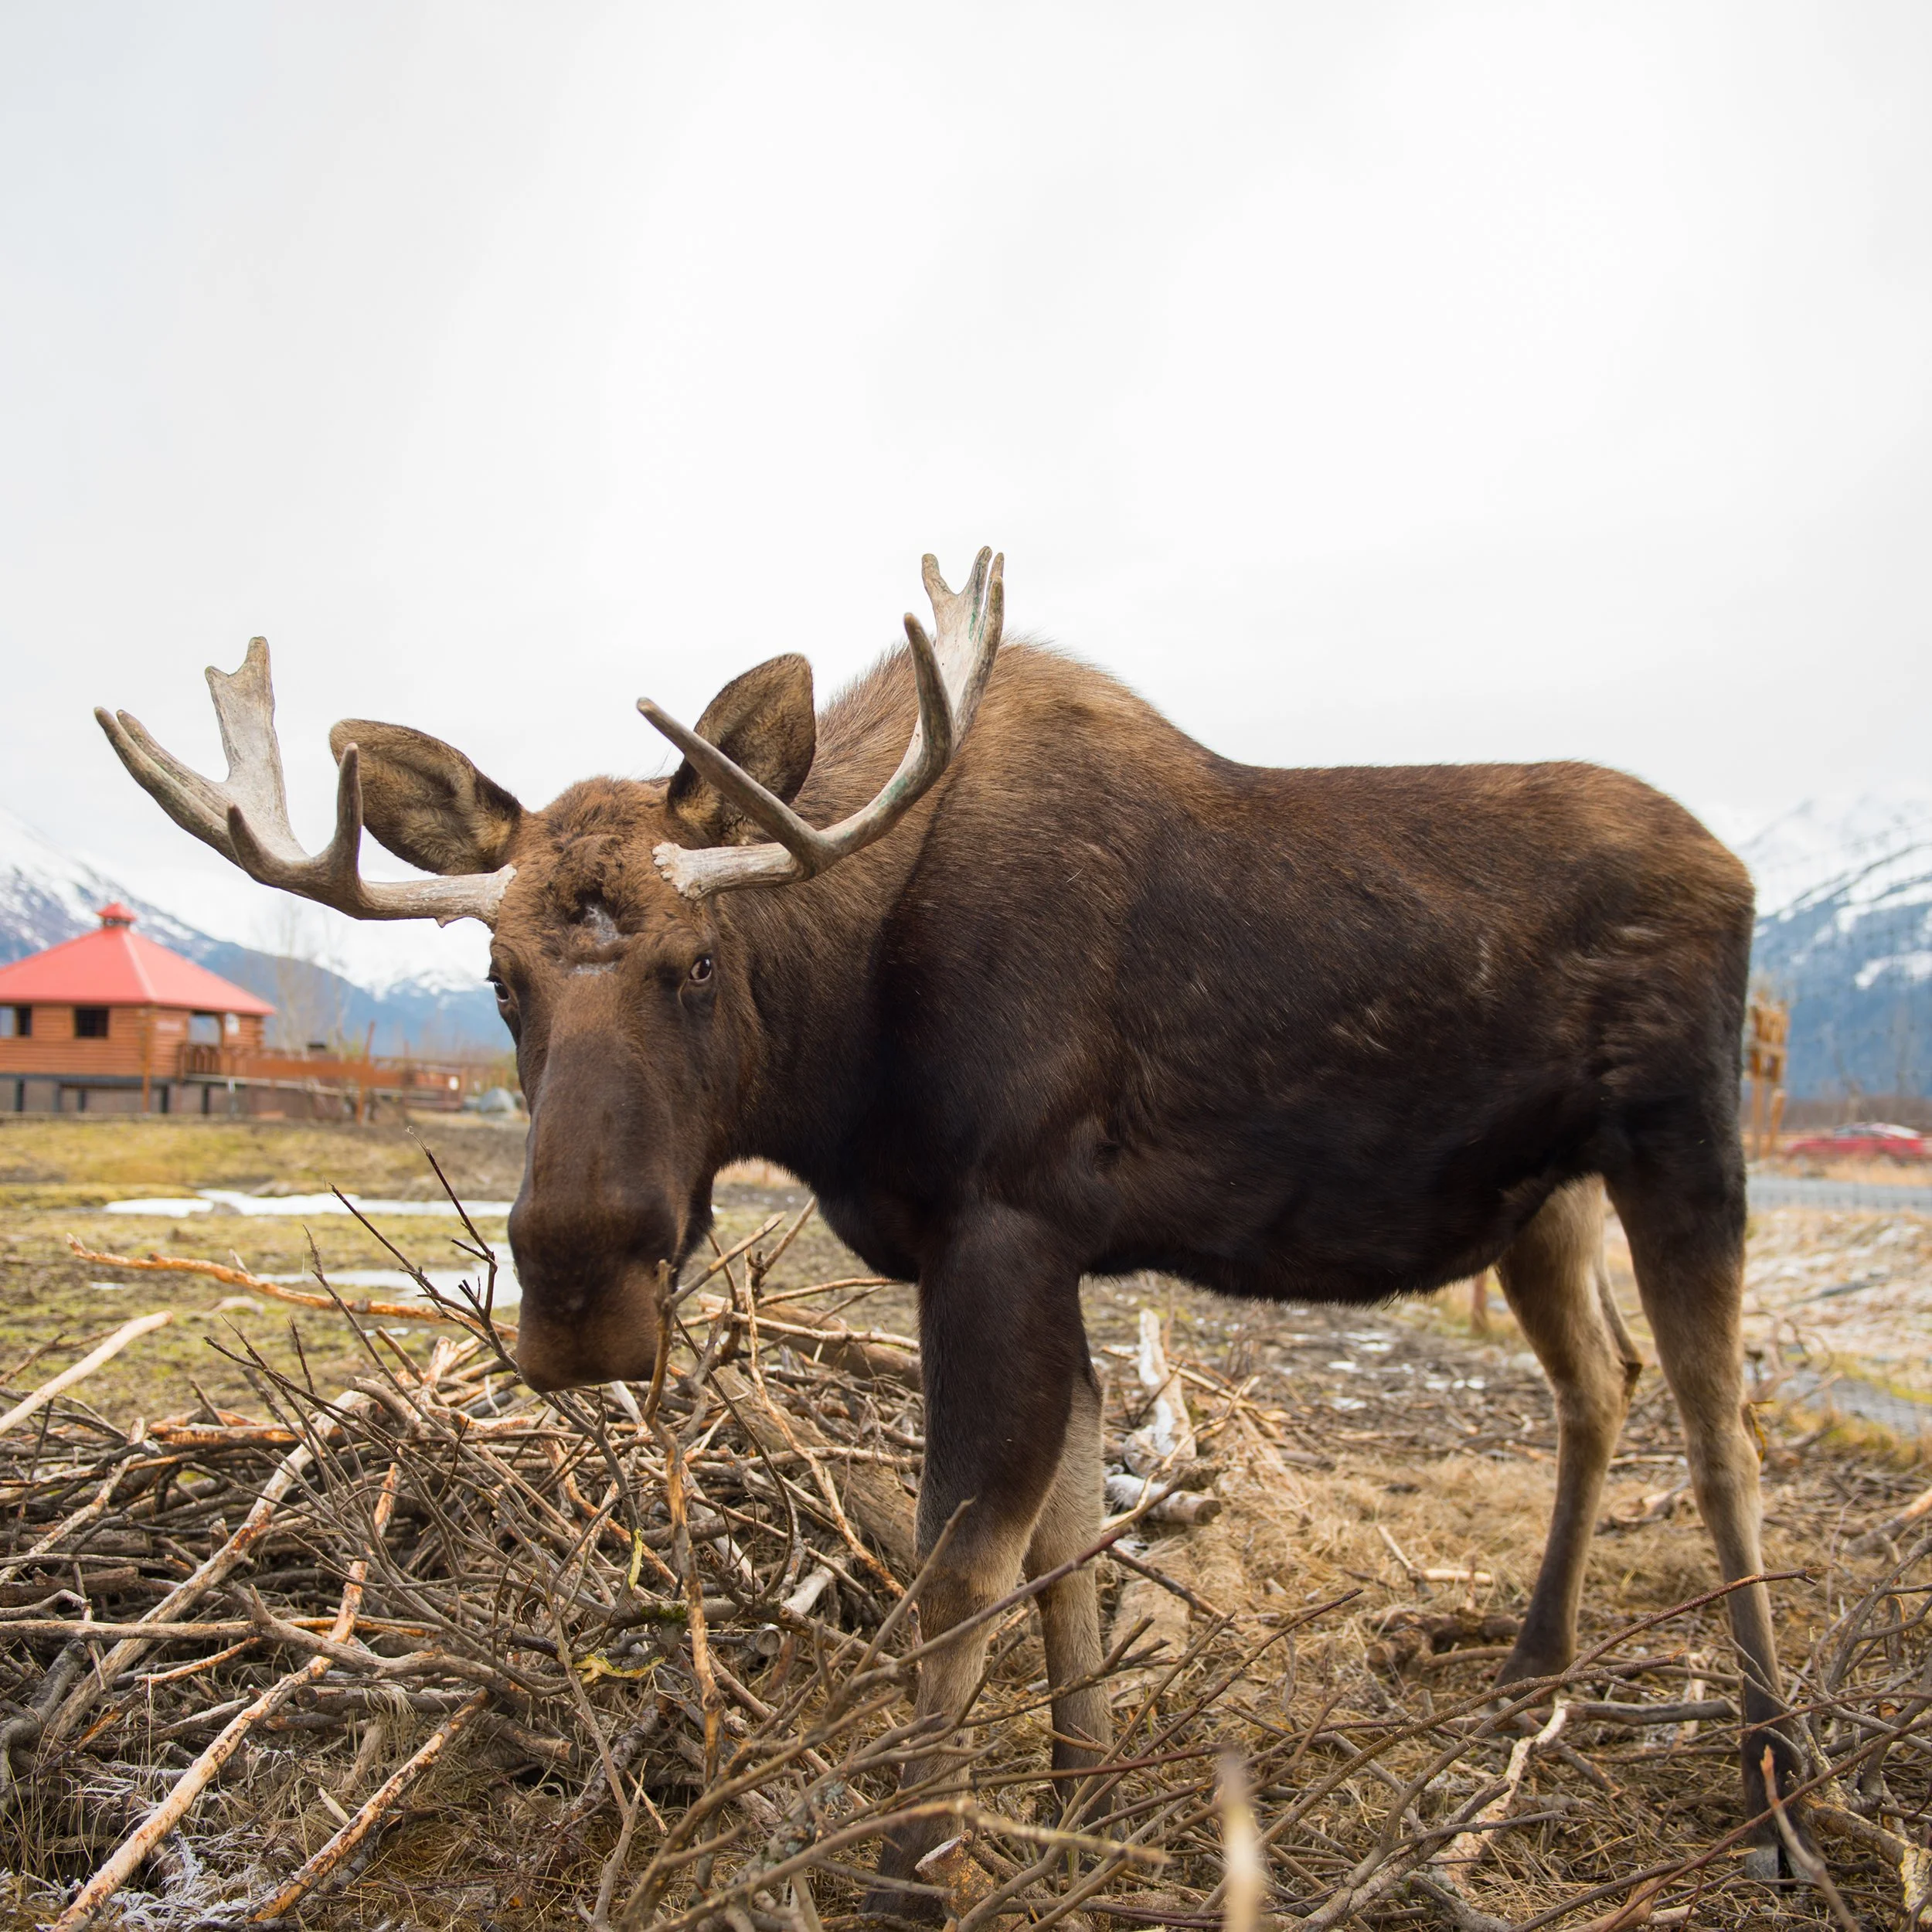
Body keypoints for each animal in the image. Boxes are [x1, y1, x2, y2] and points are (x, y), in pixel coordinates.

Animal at [97, 549, 1807, 1902]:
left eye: (697, 964)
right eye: (501, 982)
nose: (581, 1288)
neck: (842, 1048)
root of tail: (1738, 870)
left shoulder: (1004, 1225)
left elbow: (962, 1562)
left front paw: (916, 1864)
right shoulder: (1002, 1247)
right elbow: (1064, 1536)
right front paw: (1077, 1799)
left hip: (1683, 1140)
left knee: (1722, 1430)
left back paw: (1777, 1787)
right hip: (1542, 1196)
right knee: (1600, 1384)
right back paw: (1531, 1668)